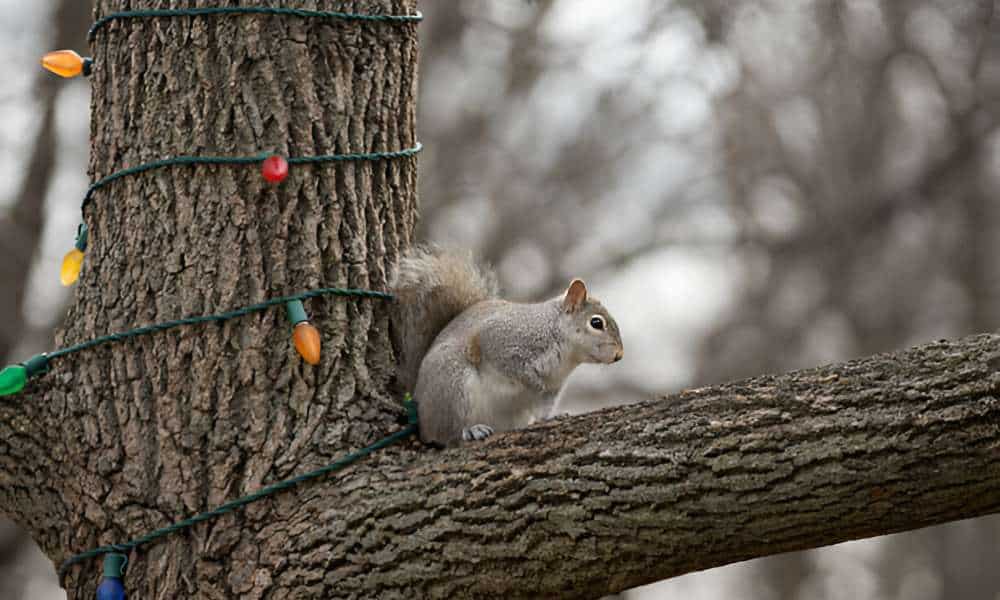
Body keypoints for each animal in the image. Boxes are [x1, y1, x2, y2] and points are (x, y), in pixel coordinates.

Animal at [390, 246, 624, 448]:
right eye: (596, 323)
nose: (619, 355)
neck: (565, 353)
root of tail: (420, 406)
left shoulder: (554, 386)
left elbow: (544, 406)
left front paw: (551, 417)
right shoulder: (501, 342)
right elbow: (516, 370)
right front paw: (534, 384)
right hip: (452, 384)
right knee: (446, 432)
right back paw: (470, 431)